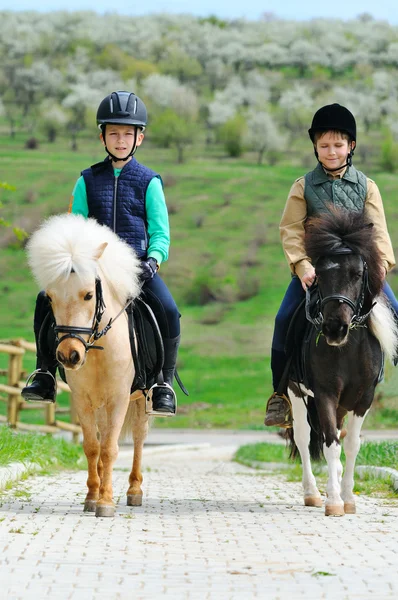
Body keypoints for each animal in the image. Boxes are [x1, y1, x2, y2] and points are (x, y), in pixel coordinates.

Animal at [27, 213, 148, 516]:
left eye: (88, 295)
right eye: (50, 297)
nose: (69, 355)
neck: (97, 351)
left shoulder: (119, 398)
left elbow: (110, 448)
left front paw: (105, 503)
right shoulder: (82, 399)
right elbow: (93, 447)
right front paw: (93, 496)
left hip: (141, 400)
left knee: (138, 438)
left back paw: (134, 491)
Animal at [288, 206, 396, 516]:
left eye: (358, 273)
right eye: (319, 274)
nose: (335, 329)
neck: (346, 349)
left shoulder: (364, 397)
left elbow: (350, 445)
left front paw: (347, 498)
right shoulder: (324, 393)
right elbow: (330, 444)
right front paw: (334, 501)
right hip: (295, 391)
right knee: (303, 437)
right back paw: (313, 493)